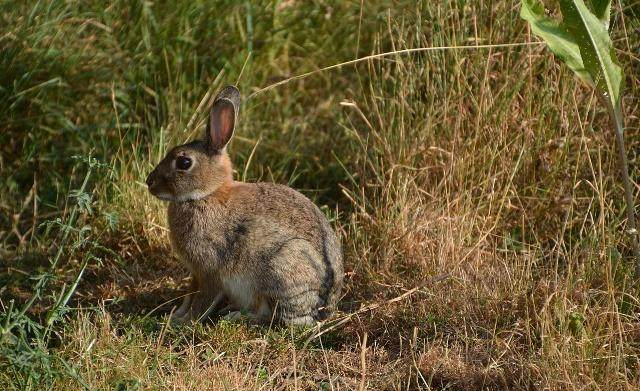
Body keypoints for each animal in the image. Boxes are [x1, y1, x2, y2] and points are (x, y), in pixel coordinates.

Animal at [146, 86, 344, 328]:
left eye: (184, 162)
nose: (149, 182)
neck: (207, 194)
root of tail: (325, 308)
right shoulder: (195, 273)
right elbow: (189, 295)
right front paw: (176, 315)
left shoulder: (210, 270)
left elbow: (202, 301)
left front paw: (185, 322)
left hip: (279, 269)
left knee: (270, 316)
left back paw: (236, 316)